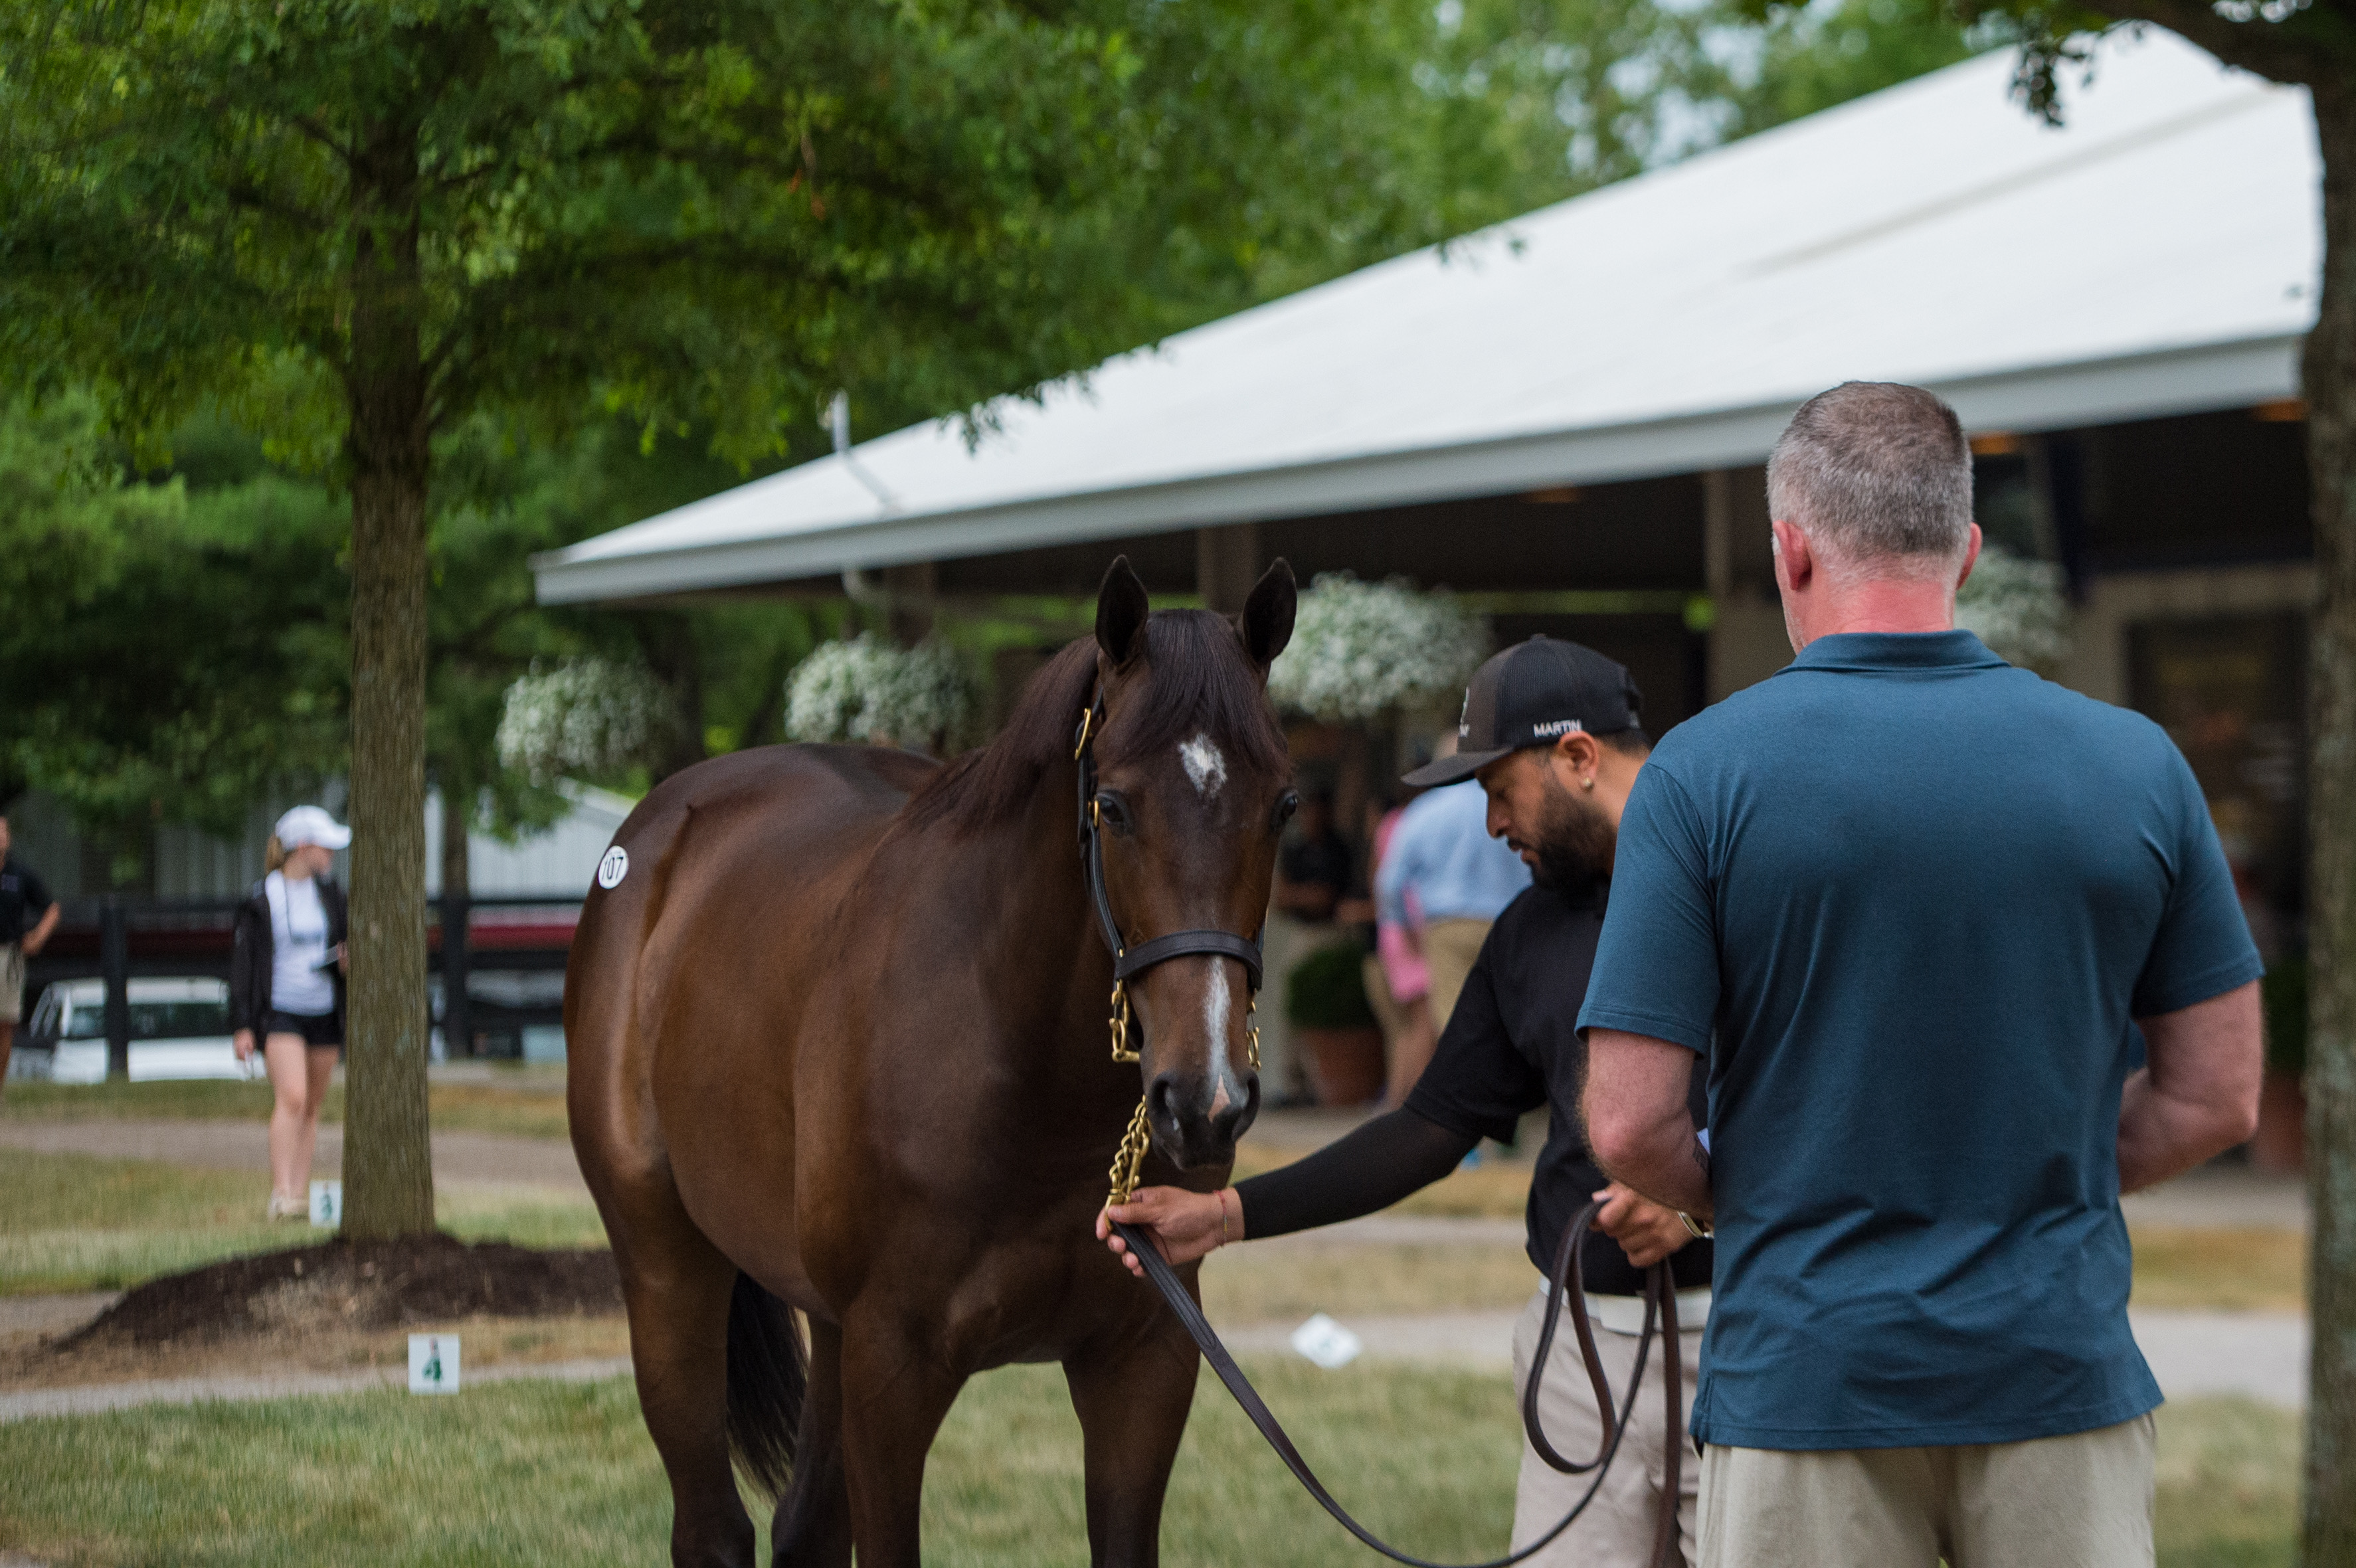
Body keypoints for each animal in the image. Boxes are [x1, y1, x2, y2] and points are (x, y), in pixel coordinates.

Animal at [572, 555, 1310, 1553]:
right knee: (713, 1527)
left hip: (828, 1324)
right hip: (667, 1269)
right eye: (1113, 806)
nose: (1204, 1103)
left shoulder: (1145, 1362)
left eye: (1282, 805)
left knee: (804, 1527)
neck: (1032, 1086)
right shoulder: (896, 1369)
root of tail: (654, 833)